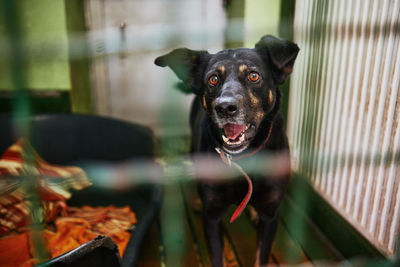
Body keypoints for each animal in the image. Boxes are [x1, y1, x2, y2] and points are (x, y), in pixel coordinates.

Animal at [155, 35, 298, 266]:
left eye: (253, 75)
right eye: (213, 79)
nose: (224, 108)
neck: (243, 157)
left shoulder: (270, 215)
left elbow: (261, 257)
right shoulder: (212, 217)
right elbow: (217, 256)